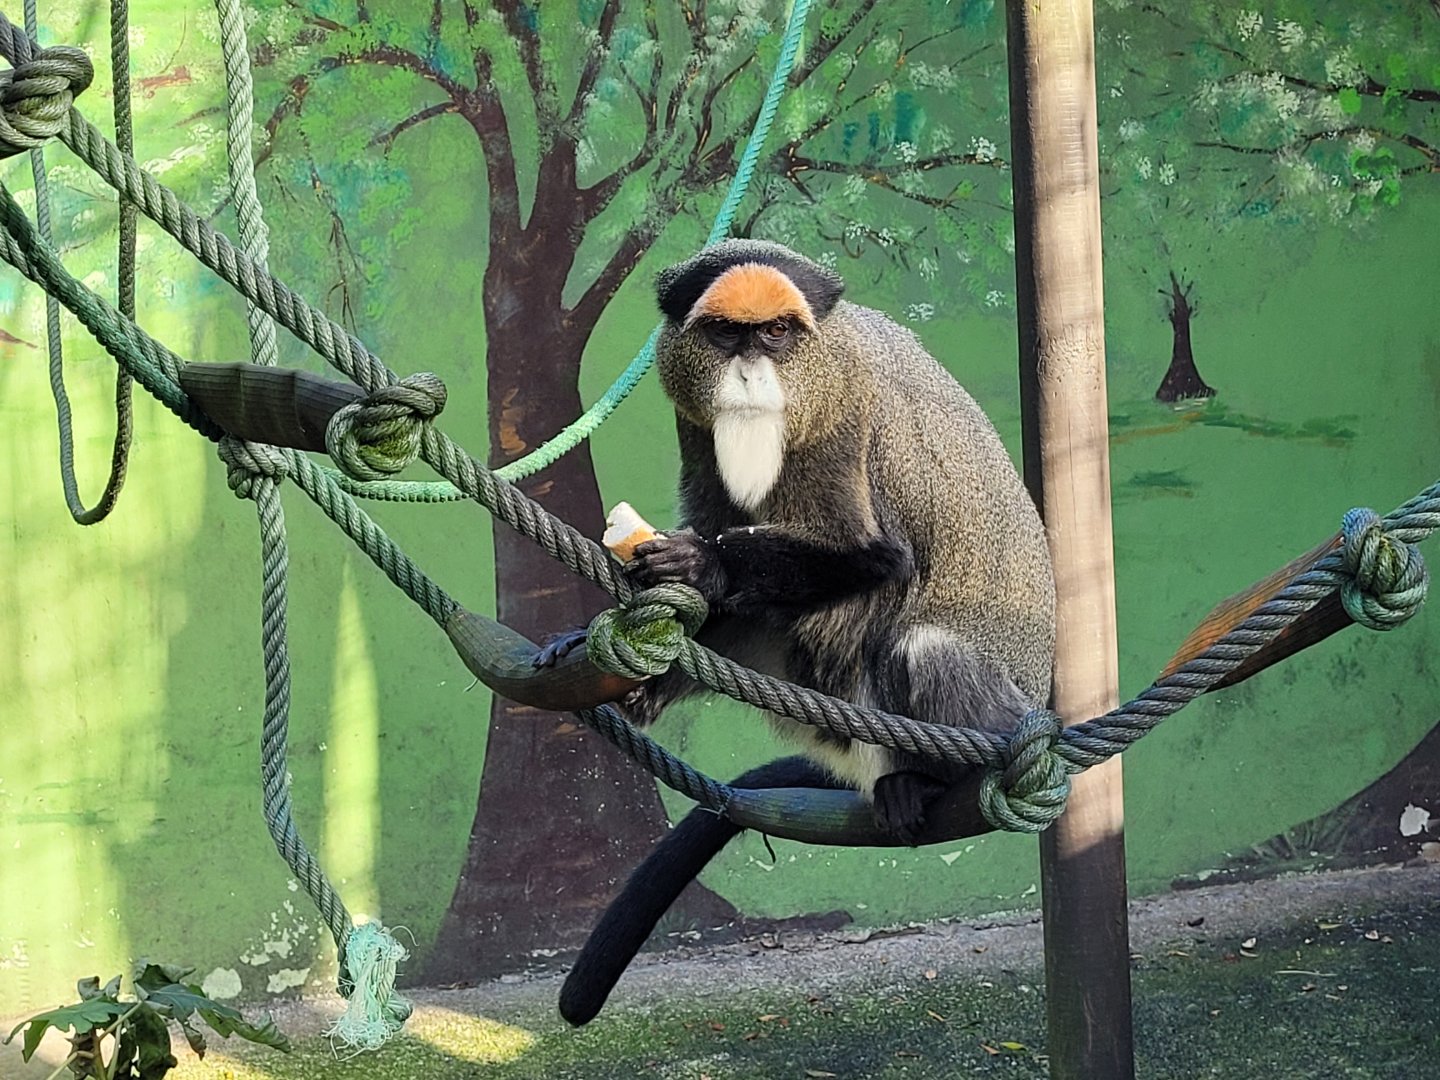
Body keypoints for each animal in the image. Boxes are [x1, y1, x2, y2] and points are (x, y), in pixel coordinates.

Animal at [548, 239, 1055, 1026]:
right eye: (727, 334)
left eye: (779, 333)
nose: (750, 371)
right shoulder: (695, 426)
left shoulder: (846, 424)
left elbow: (878, 560)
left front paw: (704, 563)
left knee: (919, 647)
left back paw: (929, 779)